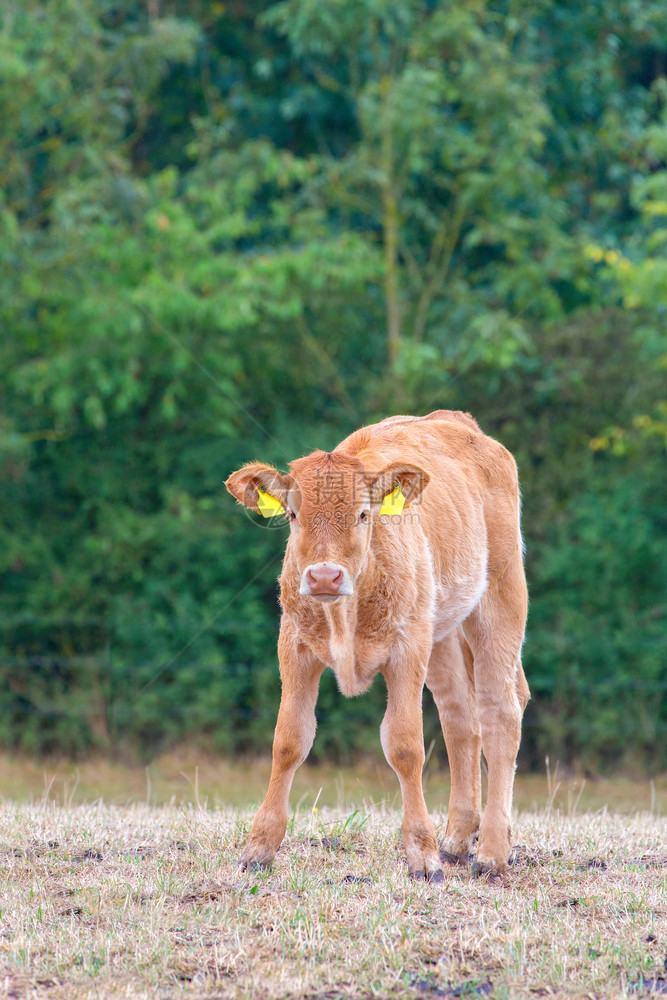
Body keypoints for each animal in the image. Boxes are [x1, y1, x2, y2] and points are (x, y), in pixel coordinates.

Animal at [227, 410, 528, 880]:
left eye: (364, 514)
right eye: (293, 514)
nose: (324, 576)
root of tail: (458, 421)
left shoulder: (406, 650)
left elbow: (405, 745)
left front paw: (421, 855)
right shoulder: (293, 646)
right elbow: (289, 740)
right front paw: (259, 848)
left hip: (500, 599)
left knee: (501, 713)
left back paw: (492, 851)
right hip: (441, 634)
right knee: (461, 719)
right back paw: (457, 839)